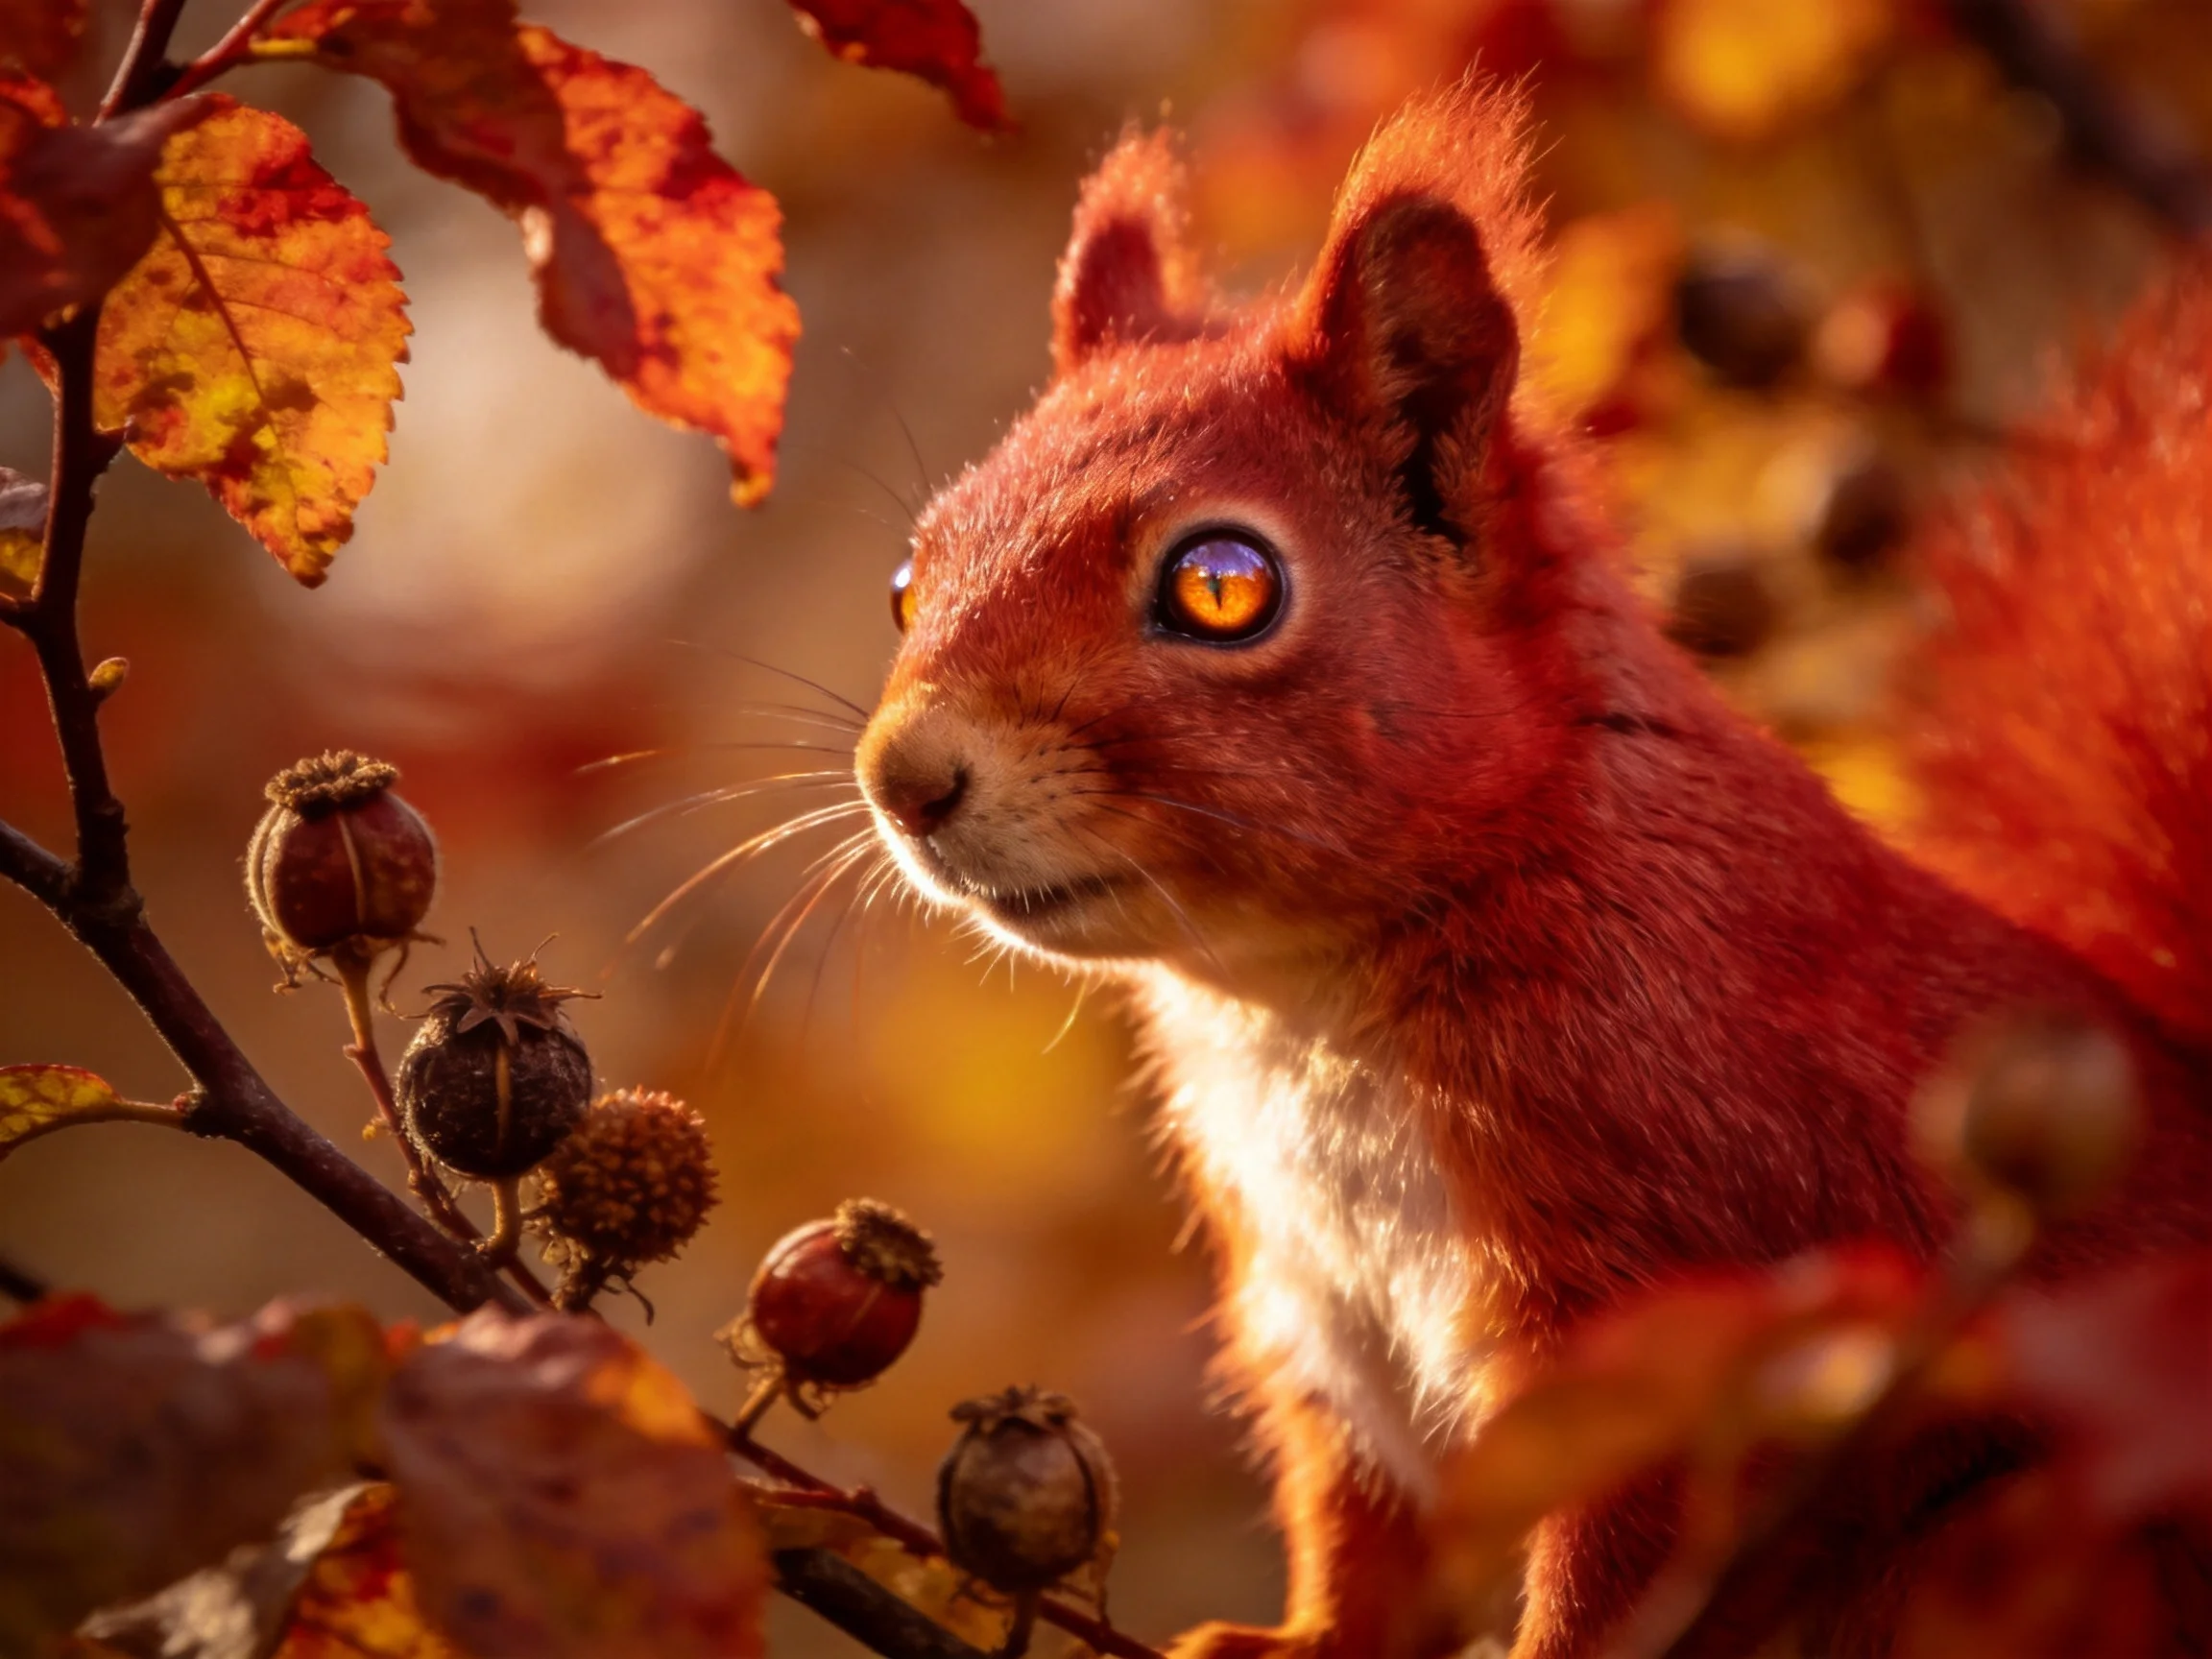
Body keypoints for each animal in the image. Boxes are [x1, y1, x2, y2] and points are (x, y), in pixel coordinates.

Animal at [853, 82, 2212, 1659]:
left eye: (1222, 586)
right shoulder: (1318, 1320)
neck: (1305, 1004)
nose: (906, 778)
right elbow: (1369, 1538)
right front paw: (1290, 1643)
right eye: (910, 579)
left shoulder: (1678, 1283)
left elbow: (1621, 1564)